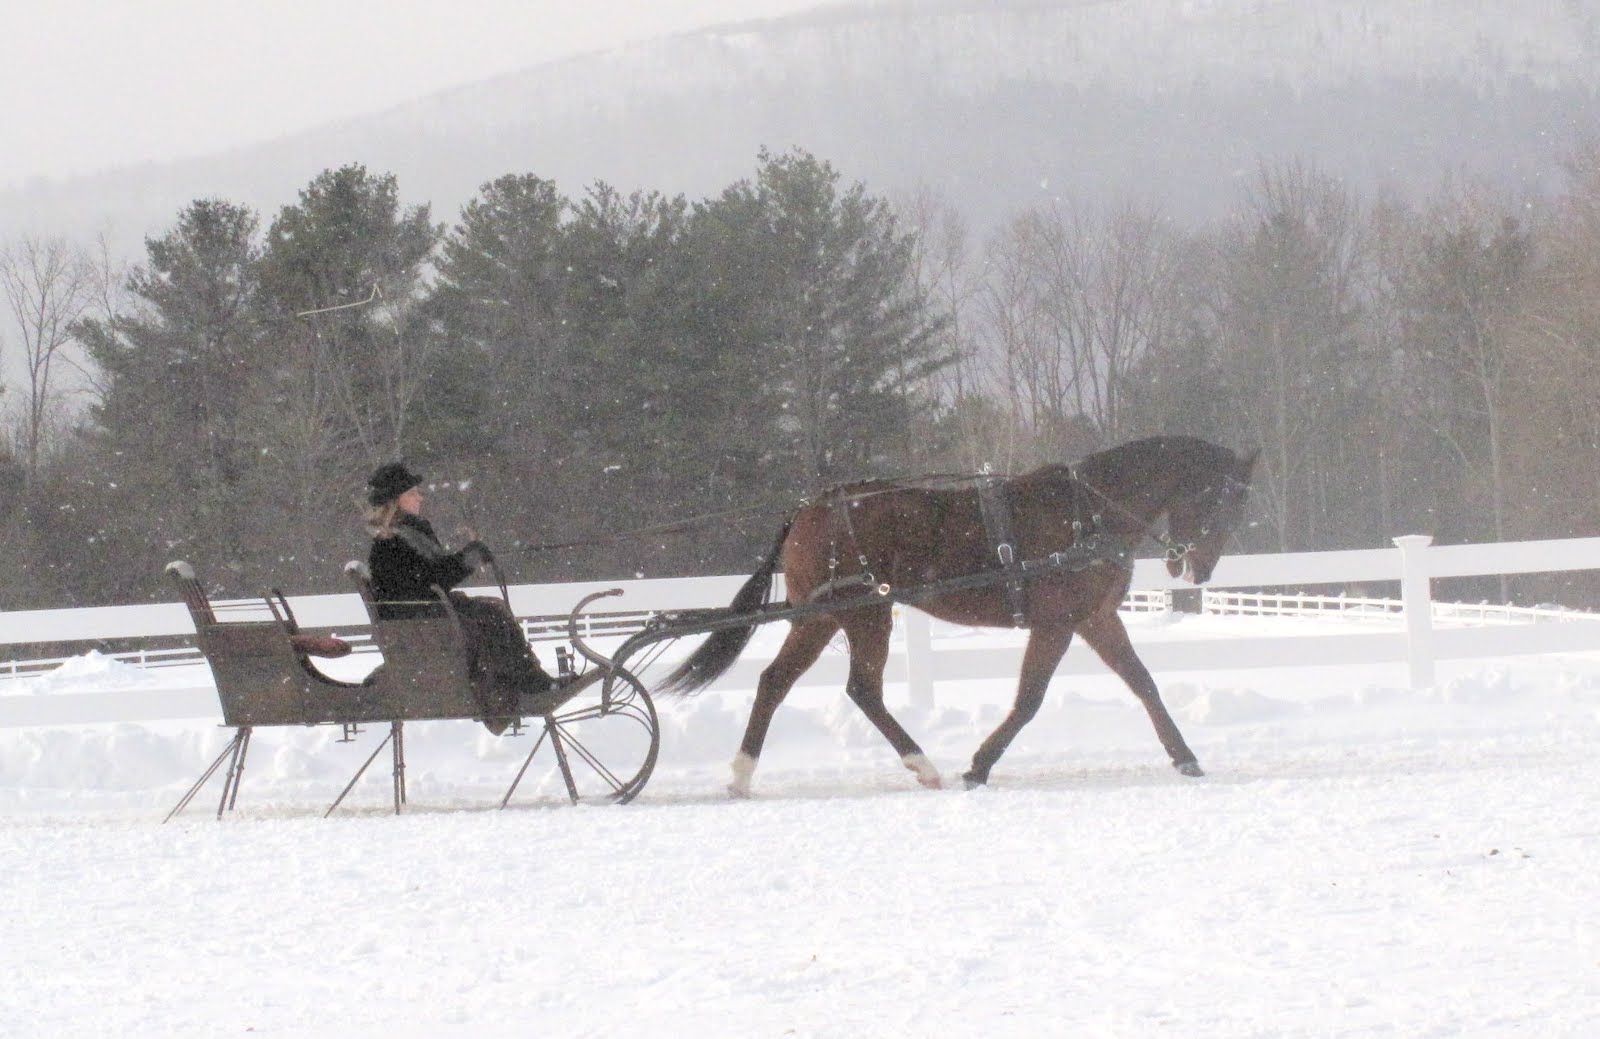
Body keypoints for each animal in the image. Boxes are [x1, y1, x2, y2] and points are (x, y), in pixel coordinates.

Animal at [661, 435, 1258, 796]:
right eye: (1224, 499)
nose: (1199, 569)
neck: (1086, 514)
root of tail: (809, 509)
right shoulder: (1058, 623)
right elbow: (1029, 699)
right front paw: (979, 764)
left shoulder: (1095, 619)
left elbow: (1143, 682)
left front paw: (1185, 757)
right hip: (862, 614)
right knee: (853, 689)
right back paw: (917, 764)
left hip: (828, 617)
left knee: (783, 682)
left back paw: (744, 774)